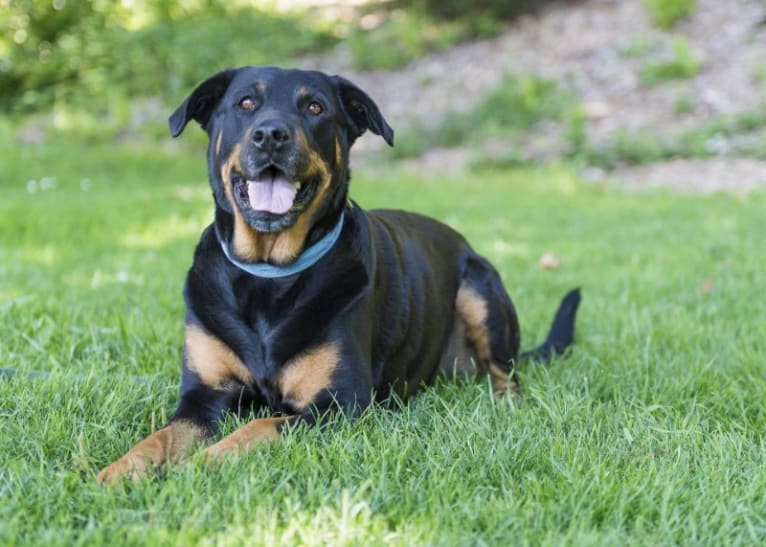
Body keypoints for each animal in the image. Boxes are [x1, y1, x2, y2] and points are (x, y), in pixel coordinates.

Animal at [96, 67, 580, 484]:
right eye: (245, 102)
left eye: (315, 107)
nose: (270, 134)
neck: (269, 274)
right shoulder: (203, 397)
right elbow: (159, 438)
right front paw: (120, 472)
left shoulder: (340, 405)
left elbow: (259, 428)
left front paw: (198, 466)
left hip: (480, 287)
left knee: (507, 376)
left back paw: (504, 404)